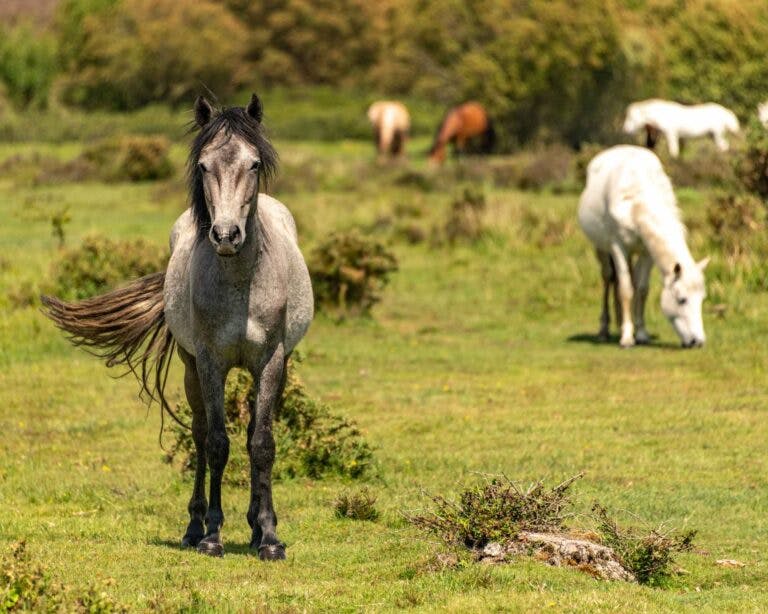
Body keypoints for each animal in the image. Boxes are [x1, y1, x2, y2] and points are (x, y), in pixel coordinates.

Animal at [42, 94, 314, 560]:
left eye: (254, 163)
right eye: (204, 165)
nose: (226, 235)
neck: (240, 282)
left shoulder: (272, 359)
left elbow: (262, 444)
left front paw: (269, 536)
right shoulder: (208, 361)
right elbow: (217, 443)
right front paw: (212, 535)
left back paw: (254, 527)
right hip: (190, 367)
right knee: (202, 434)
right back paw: (194, 527)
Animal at [578, 145, 708, 348]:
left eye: (702, 299)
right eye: (682, 300)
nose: (698, 341)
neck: (636, 201)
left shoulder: (647, 253)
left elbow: (641, 289)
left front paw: (640, 333)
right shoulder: (618, 247)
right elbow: (625, 290)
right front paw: (627, 338)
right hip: (601, 248)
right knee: (608, 278)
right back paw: (604, 330)